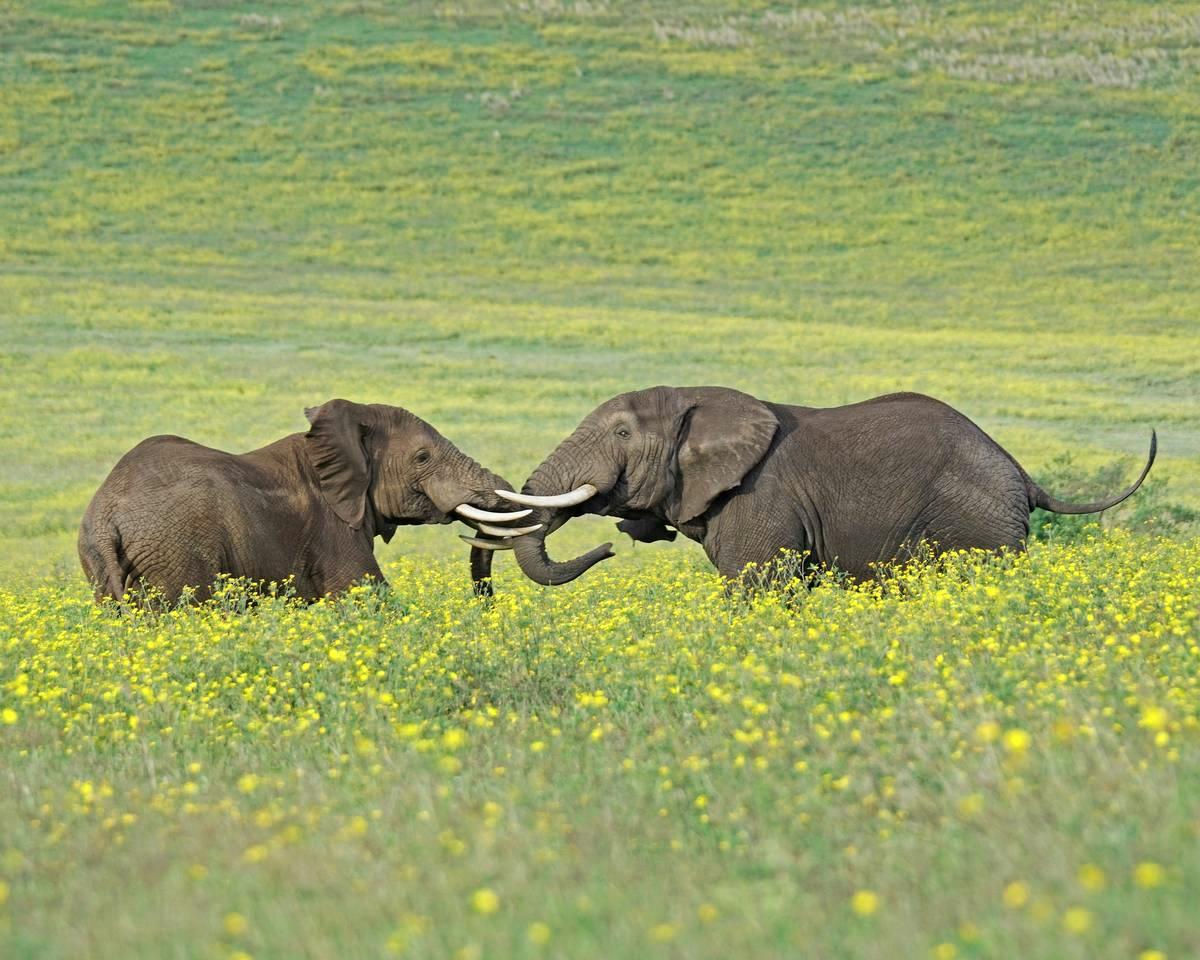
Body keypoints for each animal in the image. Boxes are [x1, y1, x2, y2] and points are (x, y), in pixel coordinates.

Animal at [492, 388, 1156, 585]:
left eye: (624, 432)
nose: (607, 548)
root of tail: (1021, 472)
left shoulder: (761, 496)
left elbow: (757, 586)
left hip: (976, 522)